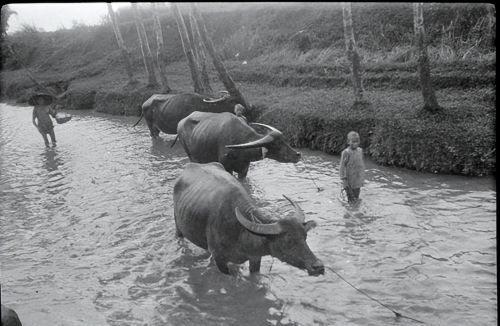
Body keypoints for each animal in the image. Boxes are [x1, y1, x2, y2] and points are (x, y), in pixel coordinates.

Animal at [174, 162, 326, 276]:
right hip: (178, 226)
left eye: (305, 237)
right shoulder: (219, 259)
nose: (318, 266)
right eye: (288, 241)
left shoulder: (255, 258)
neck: (240, 232)